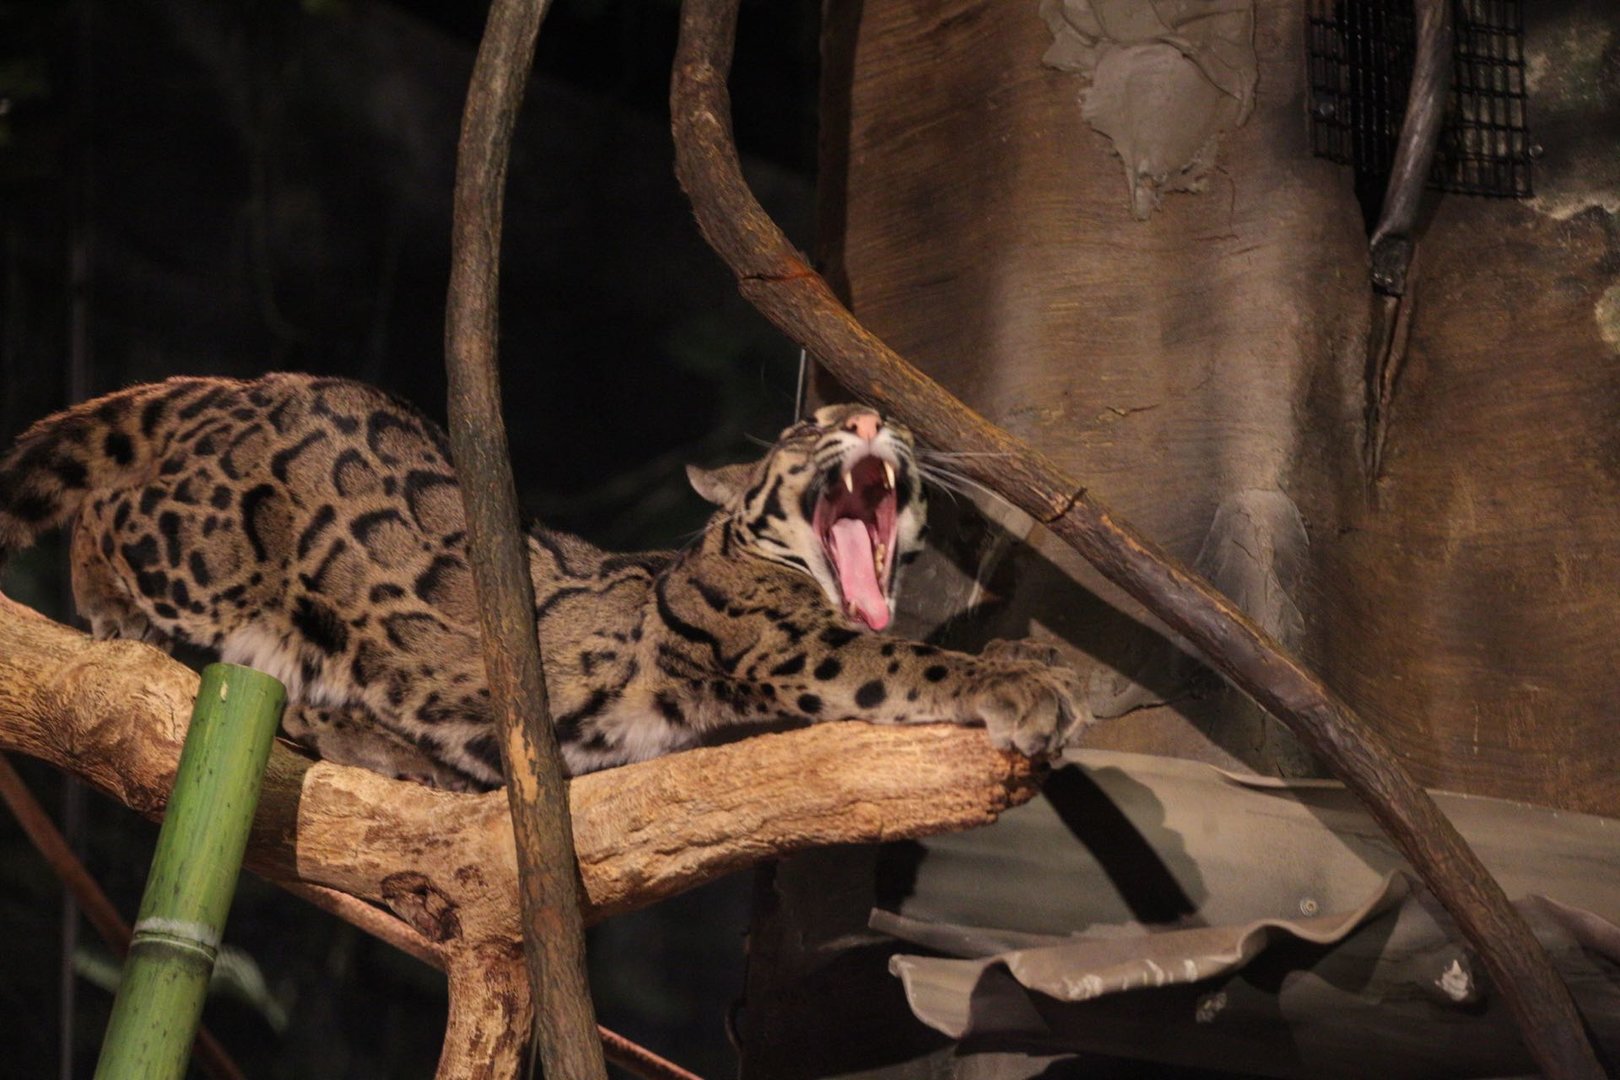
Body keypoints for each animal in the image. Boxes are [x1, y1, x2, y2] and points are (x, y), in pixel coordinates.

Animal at [0, 373, 1087, 791]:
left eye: (877, 420)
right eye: (802, 429)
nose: (867, 420)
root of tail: (242, 388)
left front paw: (1030, 649)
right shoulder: (787, 650)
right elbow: (908, 661)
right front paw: (1018, 684)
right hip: (200, 547)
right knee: (105, 512)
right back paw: (105, 600)